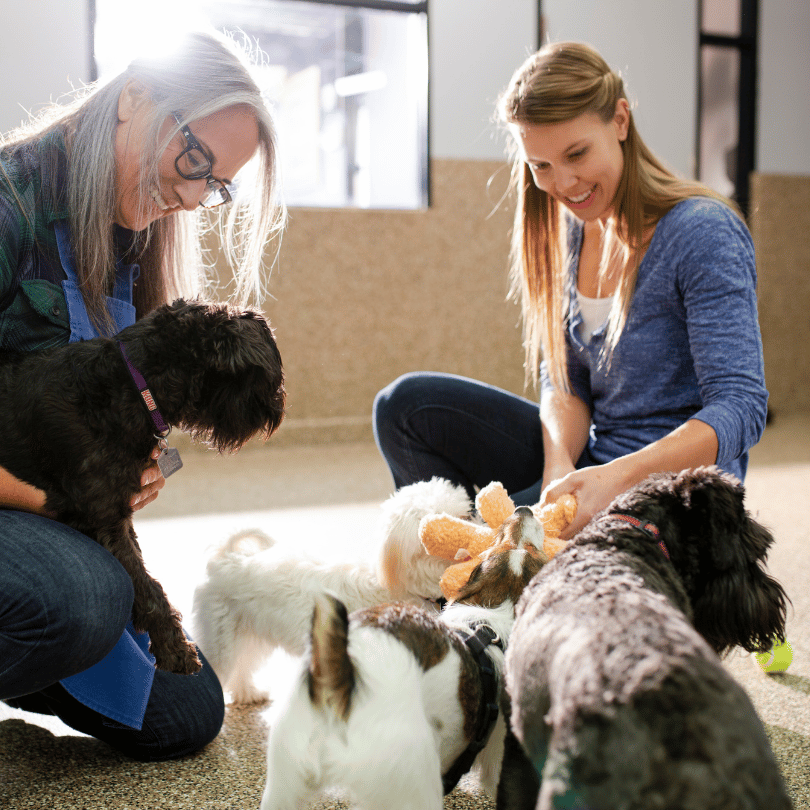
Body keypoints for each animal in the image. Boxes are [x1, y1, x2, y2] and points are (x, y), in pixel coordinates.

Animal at [0, 300, 284, 672]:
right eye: (264, 374)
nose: (277, 407)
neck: (132, 386)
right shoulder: (103, 517)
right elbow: (146, 586)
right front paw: (175, 649)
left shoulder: (122, 512)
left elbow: (144, 573)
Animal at [192, 480, 470, 700]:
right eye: (435, 526)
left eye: (464, 515)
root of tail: (224, 557)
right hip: (222, 640)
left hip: (248, 636)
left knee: (243, 666)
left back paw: (248, 693)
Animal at [262, 504, 548, 808]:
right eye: (531, 548)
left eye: (500, 541)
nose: (523, 509)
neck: (494, 613)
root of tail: (339, 681)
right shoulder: (499, 763)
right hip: (414, 785)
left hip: (283, 783)